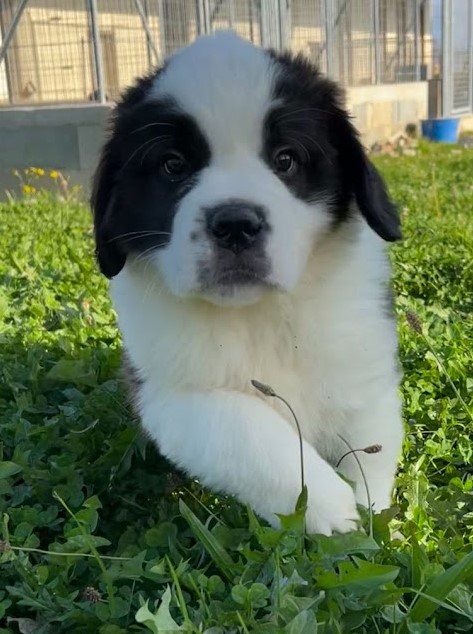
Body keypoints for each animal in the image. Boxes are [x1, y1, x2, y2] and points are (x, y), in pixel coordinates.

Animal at [91, 30, 402, 532]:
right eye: (173, 165)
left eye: (286, 160)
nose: (235, 224)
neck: (258, 312)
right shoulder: (167, 394)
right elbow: (248, 428)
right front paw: (332, 511)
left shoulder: (358, 349)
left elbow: (369, 435)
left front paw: (372, 511)